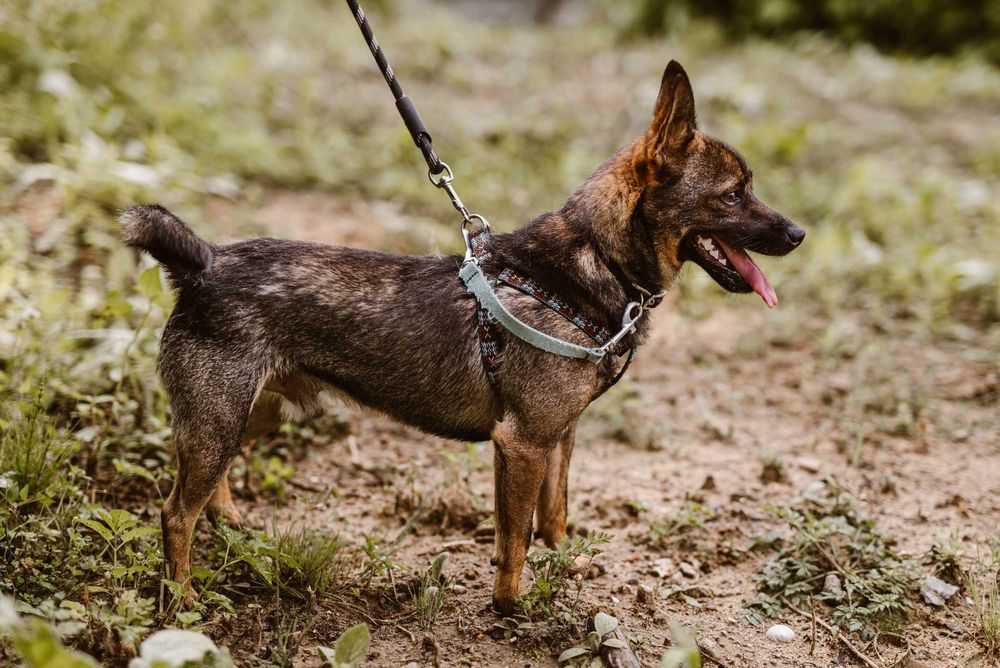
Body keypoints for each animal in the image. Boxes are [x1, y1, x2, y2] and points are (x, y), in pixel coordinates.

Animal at [121, 60, 804, 612]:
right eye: (734, 195)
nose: (799, 233)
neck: (596, 262)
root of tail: (204, 263)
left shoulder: (559, 437)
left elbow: (553, 519)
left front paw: (563, 571)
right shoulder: (522, 443)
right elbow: (514, 539)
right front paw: (511, 609)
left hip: (251, 413)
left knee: (210, 489)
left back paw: (231, 527)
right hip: (219, 418)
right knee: (175, 513)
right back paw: (183, 598)